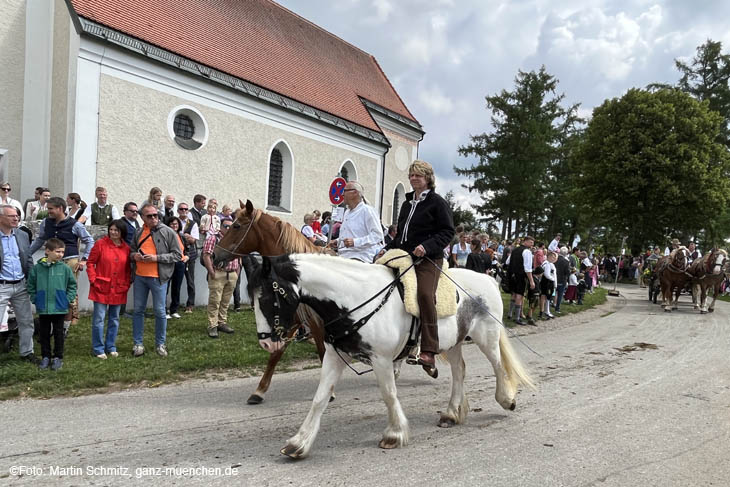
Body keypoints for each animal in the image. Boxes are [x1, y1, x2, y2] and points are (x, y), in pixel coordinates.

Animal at [213, 200, 328, 406]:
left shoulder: (315, 322)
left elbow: (322, 352)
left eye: (236, 226)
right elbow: (276, 353)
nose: (214, 255)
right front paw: (259, 391)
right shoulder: (293, 319)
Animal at [247, 254, 532, 460]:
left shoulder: (382, 359)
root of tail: (489, 280)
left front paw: (394, 435)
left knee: (497, 365)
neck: (354, 298)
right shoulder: (335, 357)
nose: (265, 342)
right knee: (459, 371)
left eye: (269, 297)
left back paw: (506, 400)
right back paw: (451, 414)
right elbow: (320, 399)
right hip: (453, 343)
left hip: (487, 336)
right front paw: (299, 443)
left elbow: (388, 394)